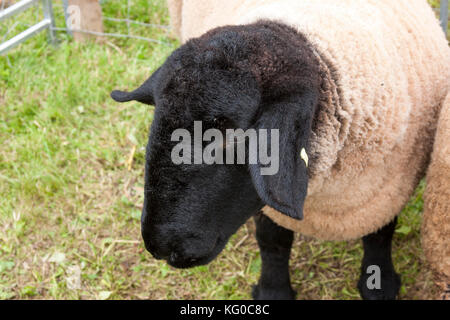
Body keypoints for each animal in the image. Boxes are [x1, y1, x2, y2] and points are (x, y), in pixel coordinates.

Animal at [110, 0, 450, 300]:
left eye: (230, 135)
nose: (160, 247)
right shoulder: (264, 198)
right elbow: (273, 240)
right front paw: (274, 290)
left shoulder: (389, 187)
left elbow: (381, 233)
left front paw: (379, 284)